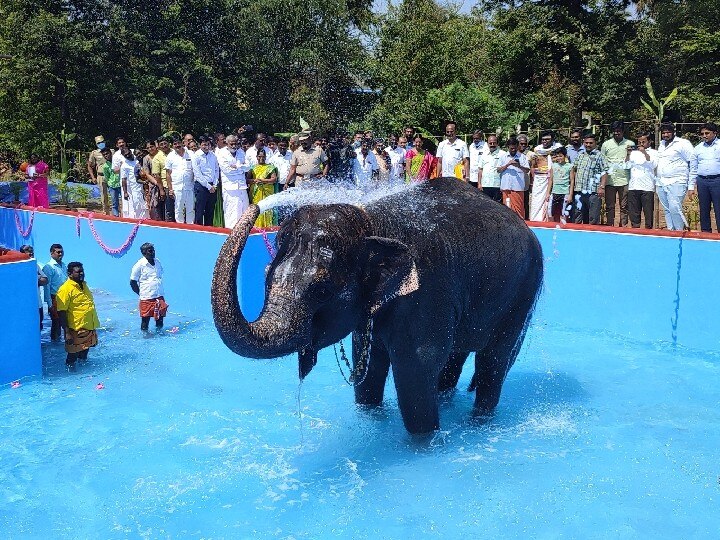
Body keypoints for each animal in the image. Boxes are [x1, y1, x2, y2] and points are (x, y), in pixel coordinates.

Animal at [211, 177, 544, 434]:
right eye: (266, 277)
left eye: (321, 290)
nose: (257, 204)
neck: (372, 222)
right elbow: (368, 370)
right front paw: (369, 420)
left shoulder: (427, 294)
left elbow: (416, 371)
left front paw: (424, 443)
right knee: (458, 356)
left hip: (524, 293)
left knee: (494, 361)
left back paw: (478, 422)